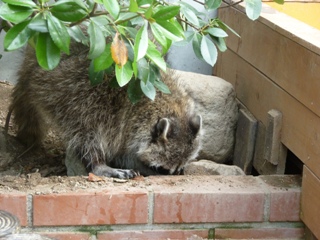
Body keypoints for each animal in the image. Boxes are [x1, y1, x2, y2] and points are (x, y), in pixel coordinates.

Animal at [8, 42, 202, 179]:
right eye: (162, 168)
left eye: (177, 168)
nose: (172, 174)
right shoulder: (119, 117)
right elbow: (115, 148)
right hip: (63, 88)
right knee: (85, 127)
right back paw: (98, 164)